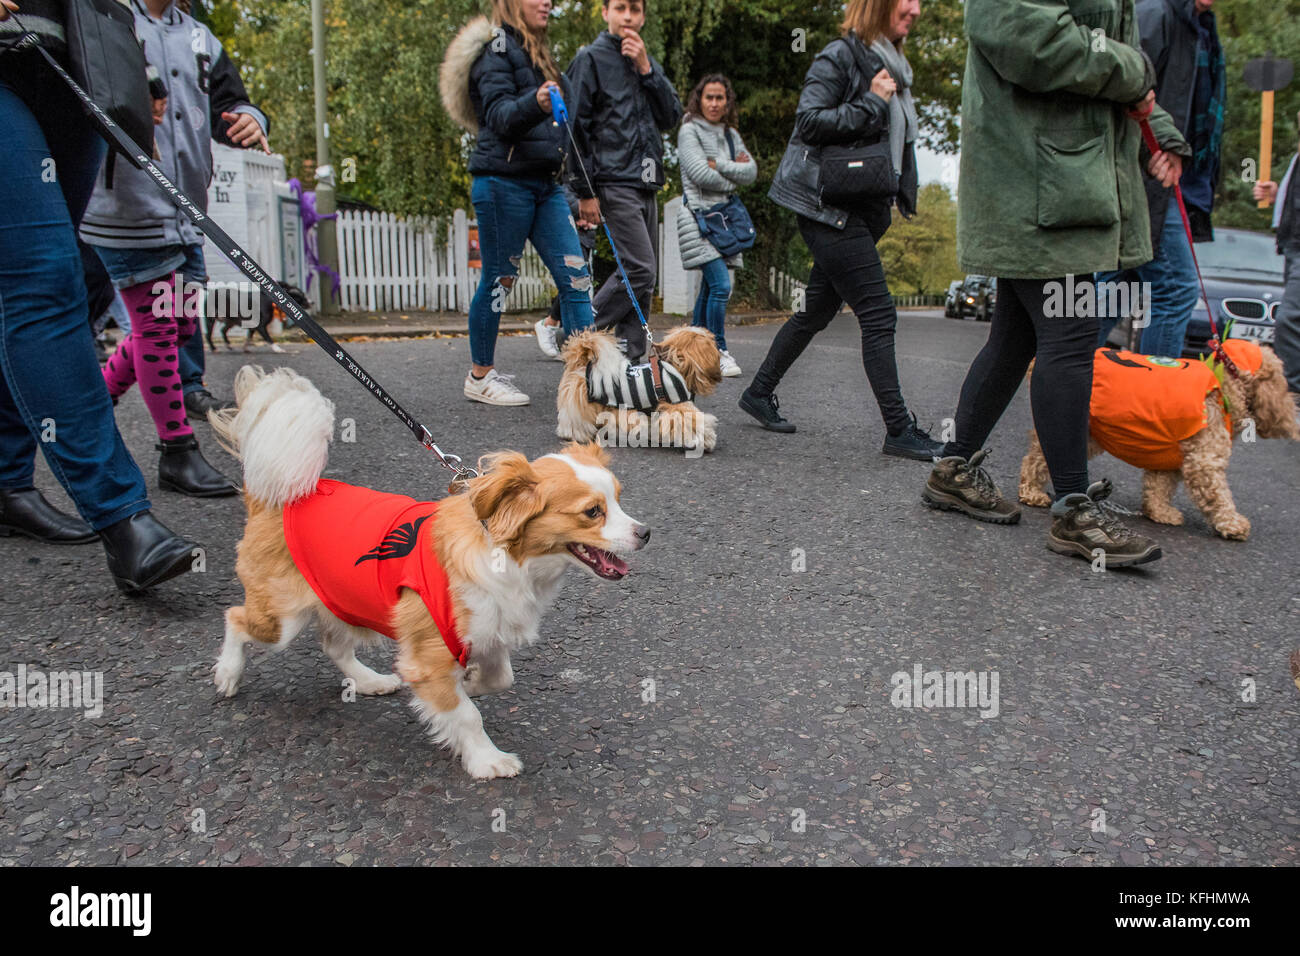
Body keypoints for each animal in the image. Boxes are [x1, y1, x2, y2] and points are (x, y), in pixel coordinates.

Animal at [210, 366, 650, 780]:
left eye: (619, 499)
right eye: (592, 512)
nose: (645, 533)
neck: (512, 560)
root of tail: (272, 499)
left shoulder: (488, 631)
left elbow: (501, 677)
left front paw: (471, 683)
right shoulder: (429, 656)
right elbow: (467, 715)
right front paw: (486, 759)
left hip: (340, 599)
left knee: (334, 646)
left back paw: (368, 681)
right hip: (282, 617)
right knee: (235, 618)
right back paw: (228, 673)